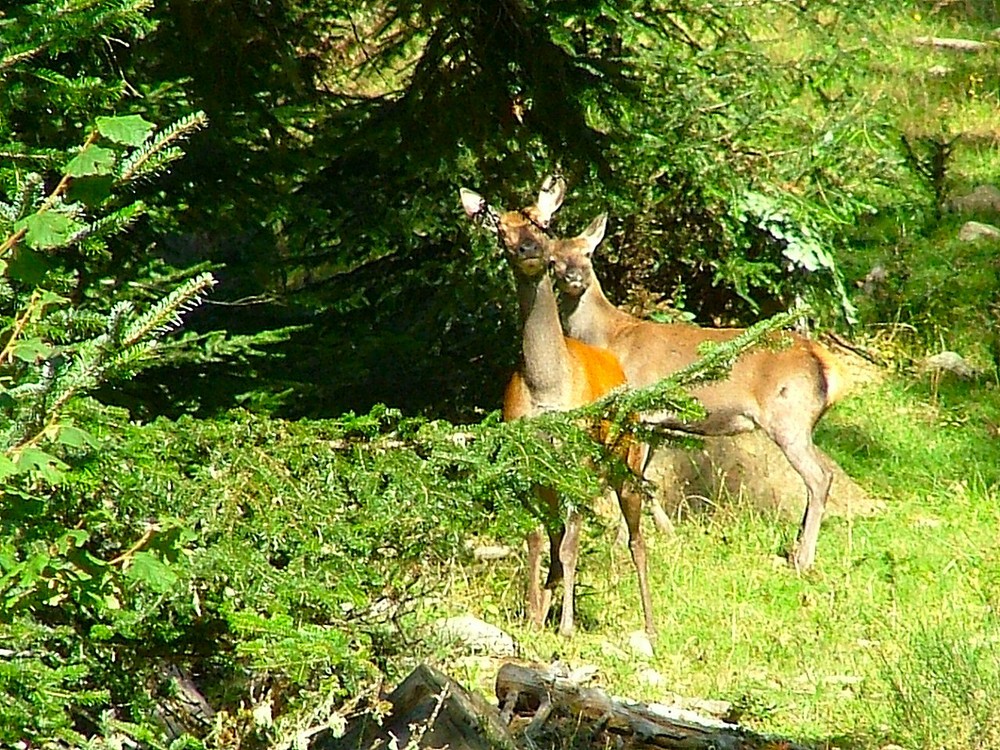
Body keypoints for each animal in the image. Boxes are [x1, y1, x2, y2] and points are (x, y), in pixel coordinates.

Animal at [458, 178, 660, 640]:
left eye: (542, 221)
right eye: (501, 229)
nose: (530, 248)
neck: (547, 388)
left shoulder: (578, 460)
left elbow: (571, 544)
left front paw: (565, 626)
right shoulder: (527, 463)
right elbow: (536, 539)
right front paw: (534, 618)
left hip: (627, 458)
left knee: (634, 538)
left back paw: (650, 626)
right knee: (555, 538)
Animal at [548, 209, 844, 572]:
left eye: (588, 253)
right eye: (553, 260)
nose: (574, 277)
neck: (609, 339)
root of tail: (825, 364)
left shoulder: (637, 410)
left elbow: (631, 478)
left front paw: (621, 545)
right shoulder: (655, 422)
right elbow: (645, 482)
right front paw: (669, 533)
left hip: (788, 415)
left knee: (819, 477)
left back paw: (803, 559)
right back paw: (796, 547)